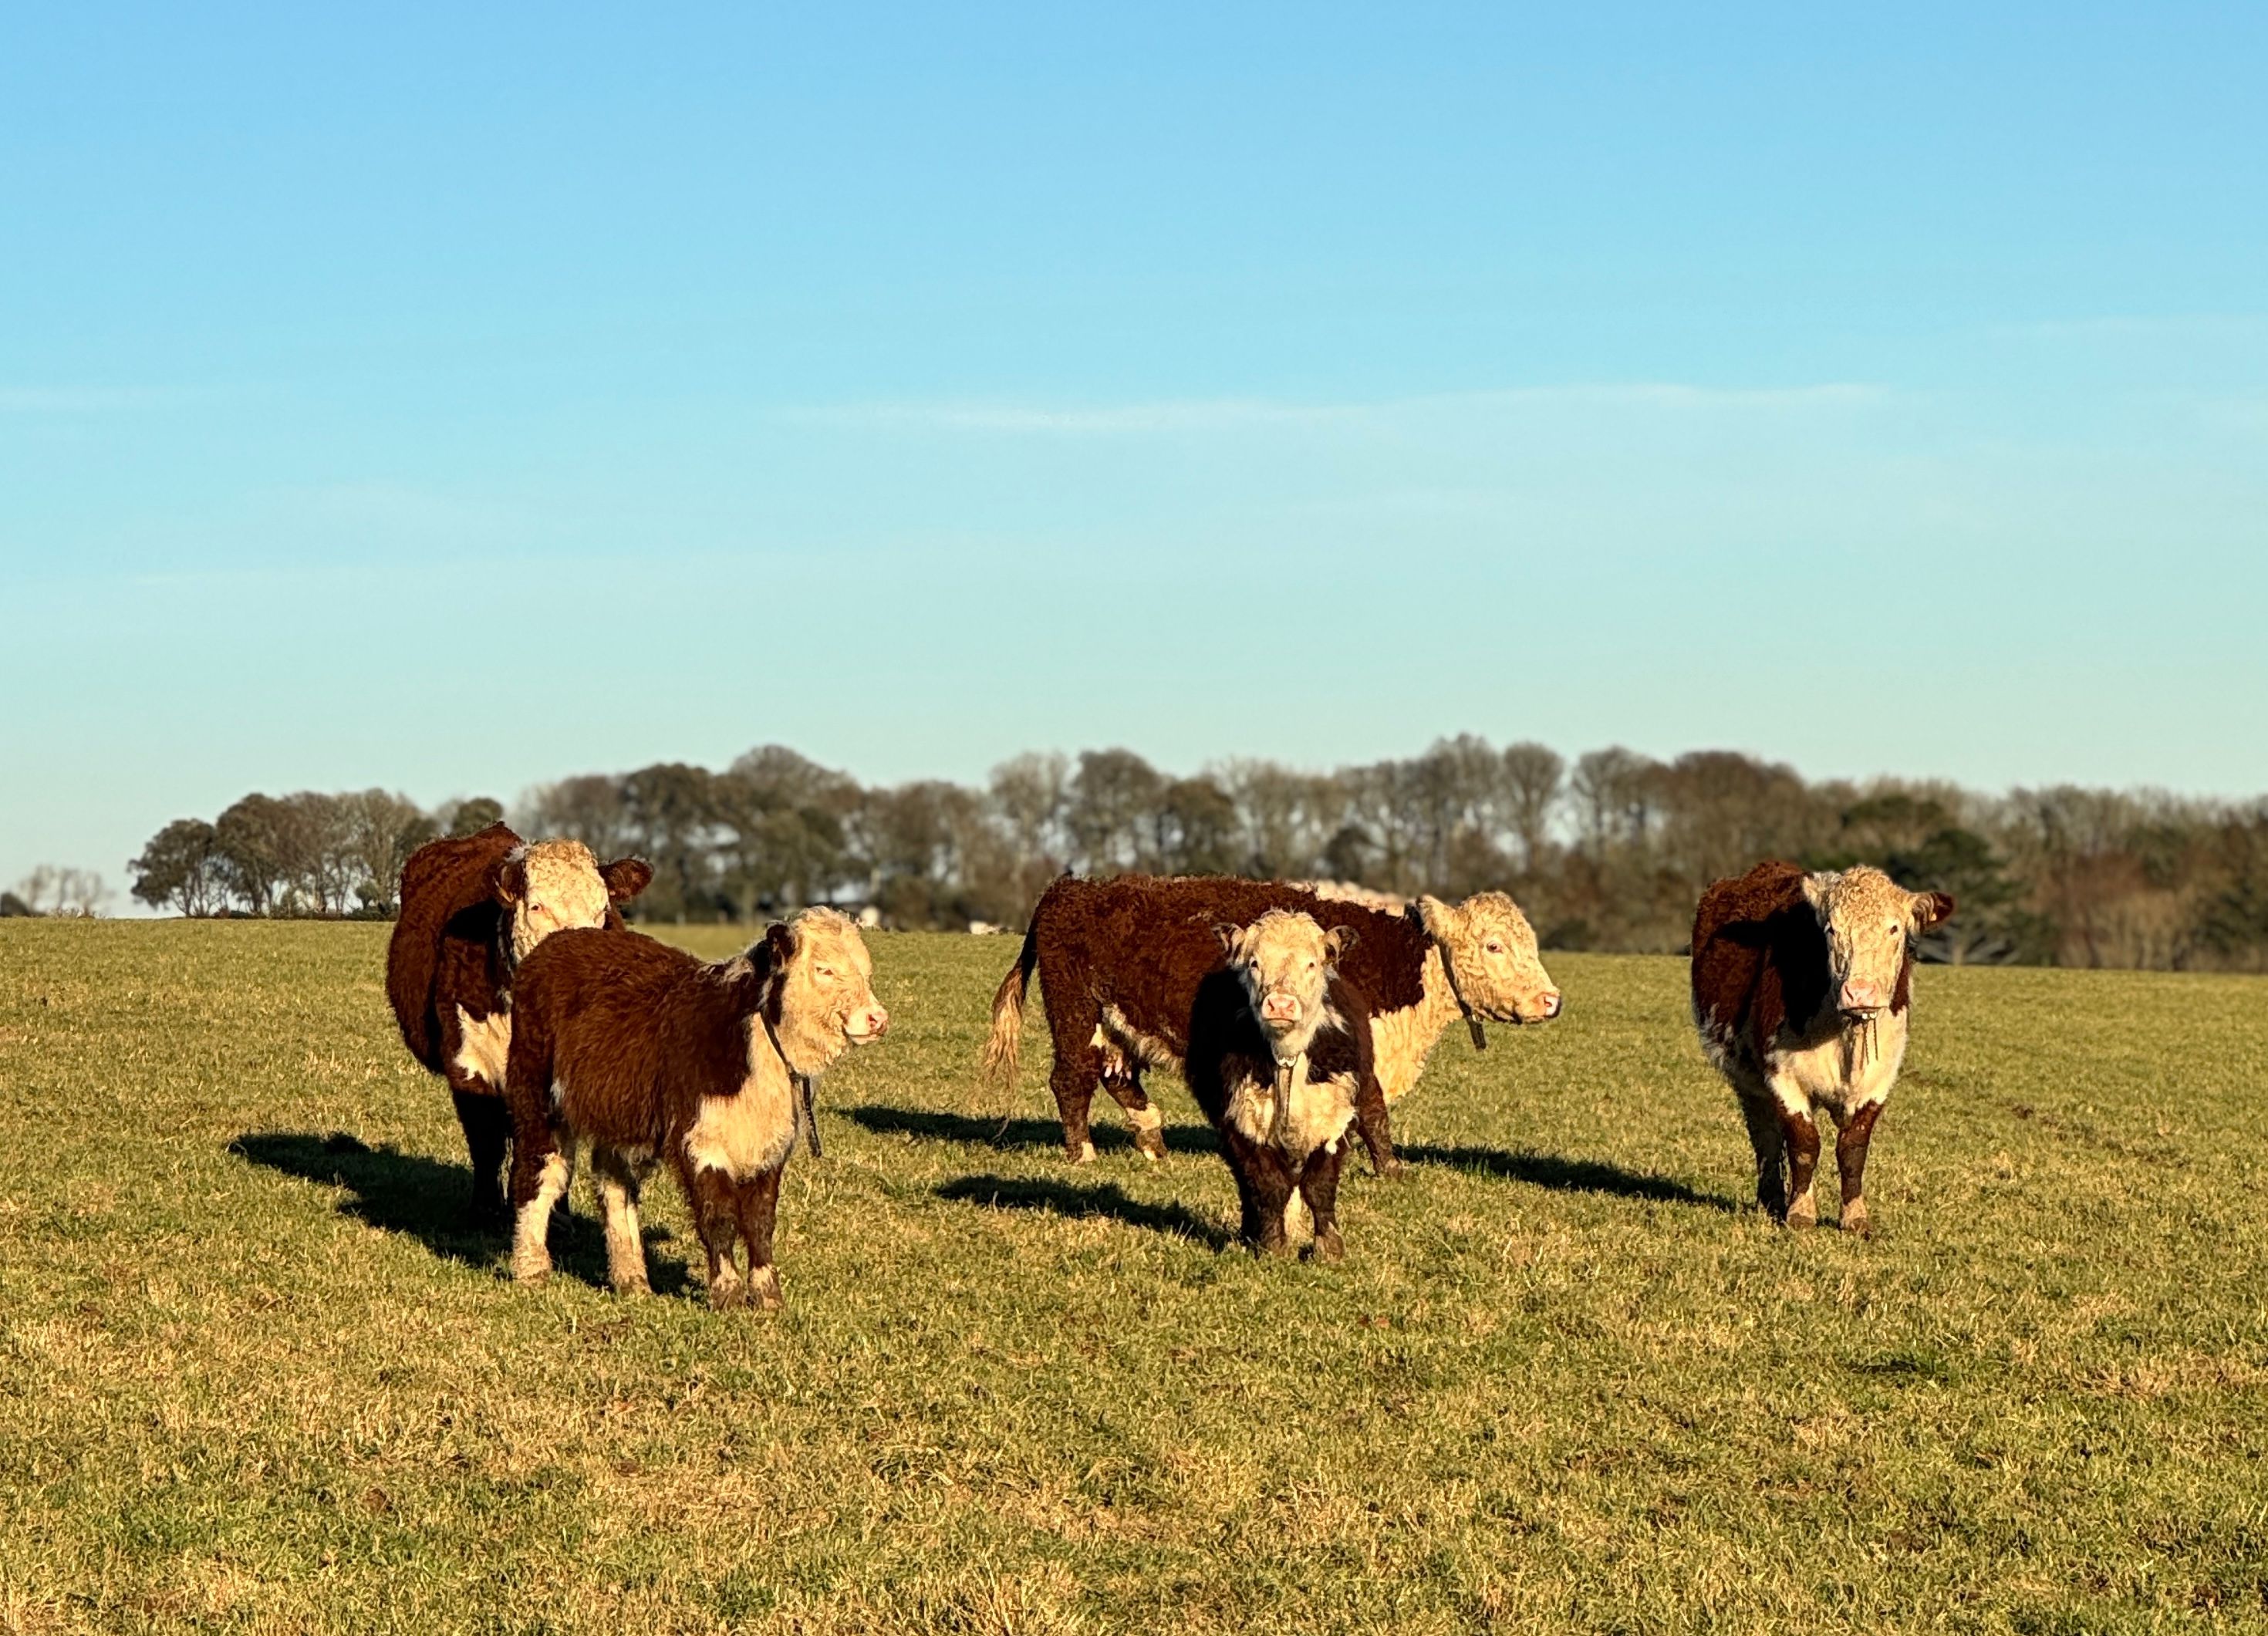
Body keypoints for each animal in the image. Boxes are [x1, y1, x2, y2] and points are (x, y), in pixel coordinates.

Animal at [385, 821, 653, 1216]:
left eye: (603, 909)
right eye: (537, 906)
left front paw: (557, 1214)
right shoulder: (469, 1065)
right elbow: (486, 1144)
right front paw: (485, 1210)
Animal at [503, 898, 884, 1307]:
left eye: (864, 970)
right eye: (823, 969)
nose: (877, 1018)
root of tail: (559, 942)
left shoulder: (769, 1147)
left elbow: (760, 1221)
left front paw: (768, 1297)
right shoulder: (700, 1142)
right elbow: (718, 1217)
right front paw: (728, 1293)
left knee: (615, 1187)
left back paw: (632, 1279)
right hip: (538, 1101)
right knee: (539, 1174)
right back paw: (531, 1268)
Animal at [984, 875, 1569, 1170]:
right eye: (1494, 945)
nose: (1552, 1000)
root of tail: (1069, 887)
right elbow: (1373, 1113)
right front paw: (1391, 1171)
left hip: (1116, 1021)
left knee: (1118, 1076)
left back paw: (1153, 1141)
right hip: (1074, 1010)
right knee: (1071, 1078)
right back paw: (1082, 1152)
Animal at [1179, 912, 1369, 1261]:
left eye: (1312, 964)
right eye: (1255, 963)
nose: (1280, 1004)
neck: (1287, 1057)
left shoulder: (1336, 1121)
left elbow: (1319, 1186)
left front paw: (1328, 1249)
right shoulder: (1242, 1123)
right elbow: (1268, 1185)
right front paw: (1273, 1246)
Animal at [1696, 862, 1959, 1234]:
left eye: (1894, 928)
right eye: (1832, 929)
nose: (1860, 992)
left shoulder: (1879, 1082)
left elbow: (1852, 1149)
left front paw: (1855, 1217)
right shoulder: (1782, 1077)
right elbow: (1804, 1144)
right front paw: (1800, 1212)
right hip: (1746, 1081)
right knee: (1765, 1136)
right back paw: (1771, 1199)